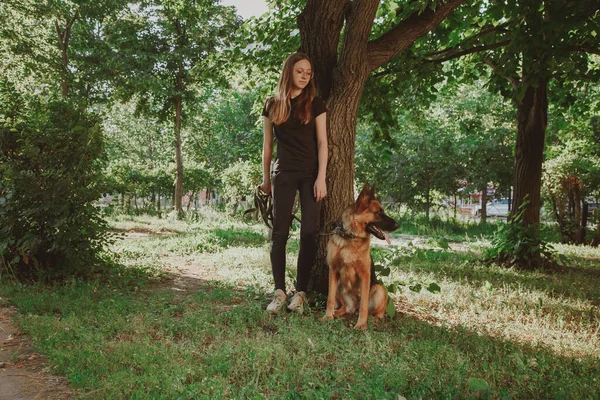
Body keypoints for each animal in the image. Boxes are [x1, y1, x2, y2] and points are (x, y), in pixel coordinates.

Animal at [324, 183, 398, 330]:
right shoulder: (333, 271)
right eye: (379, 212)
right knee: (346, 307)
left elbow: (364, 304)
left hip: (379, 289)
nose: (398, 225)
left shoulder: (365, 275)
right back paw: (336, 312)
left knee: (375, 313)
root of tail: (354, 307)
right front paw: (328, 316)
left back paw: (371, 319)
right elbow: (330, 298)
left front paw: (361, 324)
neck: (351, 237)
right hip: (338, 284)